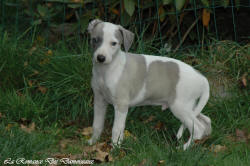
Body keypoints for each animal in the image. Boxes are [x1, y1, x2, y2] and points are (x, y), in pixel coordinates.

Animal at [87, 18, 211, 150]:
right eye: (95, 39)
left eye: (114, 43)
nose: (100, 58)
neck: (106, 70)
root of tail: (203, 78)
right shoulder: (99, 100)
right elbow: (97, 124)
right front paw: (93, 142)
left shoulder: (121, 104)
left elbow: (117, 129)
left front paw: (115, 148)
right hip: (190, 106)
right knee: (206, 121)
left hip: (180, 106)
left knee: (198, 128)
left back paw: (183, 148)